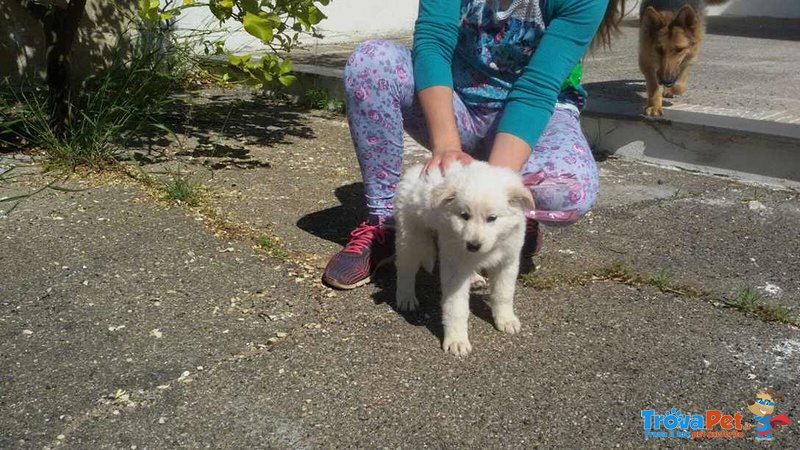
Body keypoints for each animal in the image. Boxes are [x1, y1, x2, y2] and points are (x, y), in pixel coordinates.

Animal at [392, 160, 536, 356]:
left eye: (492, 218)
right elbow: (456, 307)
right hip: (411, 237)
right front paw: (457, 340)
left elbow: (503, 294)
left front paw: (506, 319)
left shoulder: (508, 262)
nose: (472, 245)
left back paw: (474, 277)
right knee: (406, 268)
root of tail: (415, 170)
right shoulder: (455, 269)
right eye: (464, 215)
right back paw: (406, 297)